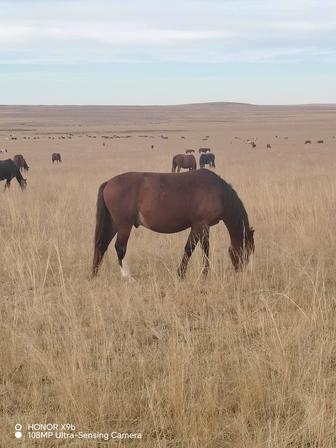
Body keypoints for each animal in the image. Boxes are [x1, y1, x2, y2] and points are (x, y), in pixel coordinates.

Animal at [92, 170, 255, 278]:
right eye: (247, 250)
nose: (241, 272)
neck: (219, 191)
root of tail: (108, 183)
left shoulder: (203, 226)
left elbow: (203, 249)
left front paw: (202, 273)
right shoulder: (199, 224)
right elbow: (191, 248)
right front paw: (185, 273)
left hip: (114, 224)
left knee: (101, 245)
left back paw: (95, 274)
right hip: (124, 225)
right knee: (119, 247)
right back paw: (128, 277)